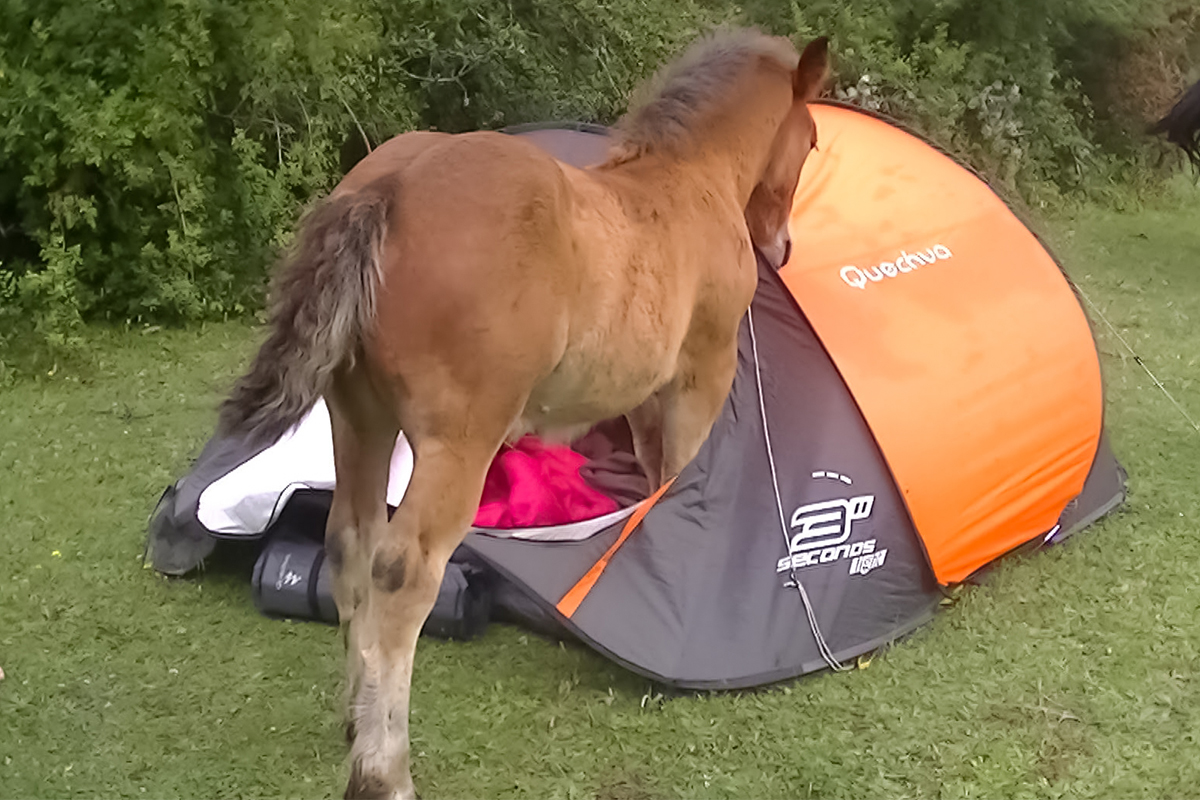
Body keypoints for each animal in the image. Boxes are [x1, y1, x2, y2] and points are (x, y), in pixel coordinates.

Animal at [218, 28, 830, 800]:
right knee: (404, 572)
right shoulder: (702, 380)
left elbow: (652, 478)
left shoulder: (642, 401)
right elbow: (680, 479)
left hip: (359, 421)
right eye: (812, 139)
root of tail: (389, 186)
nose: (782, 245)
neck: (690, 182)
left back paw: (357, 728)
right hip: (457, 444)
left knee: (350, 543)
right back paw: (385, 769)